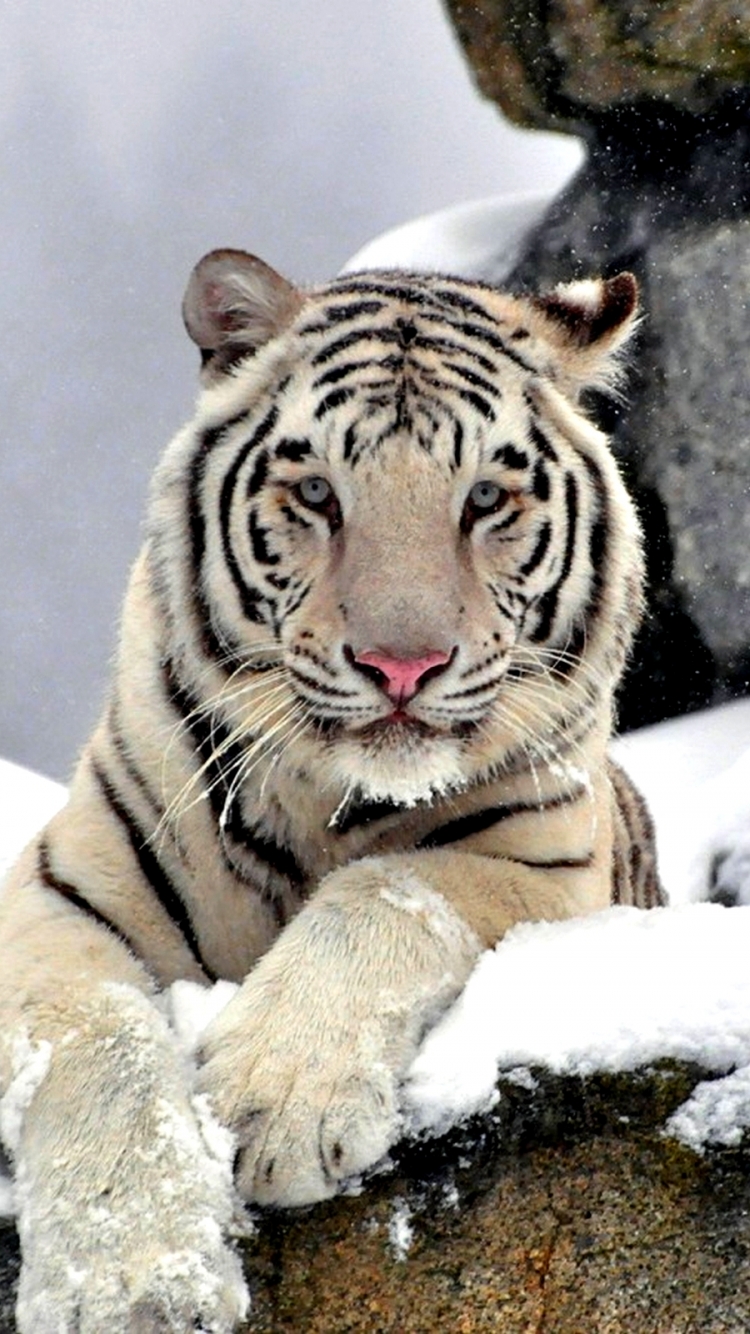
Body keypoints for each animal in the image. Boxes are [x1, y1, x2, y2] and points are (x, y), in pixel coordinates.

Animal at [0, 250, 661, 1332]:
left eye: (485, 499)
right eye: (316, 492)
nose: (402, 665)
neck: (329, 802)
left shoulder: (549, 868)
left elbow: (388, 891)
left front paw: (275, 1103)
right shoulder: (57, 892)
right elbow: (98, 1037)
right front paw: (136, 1287)